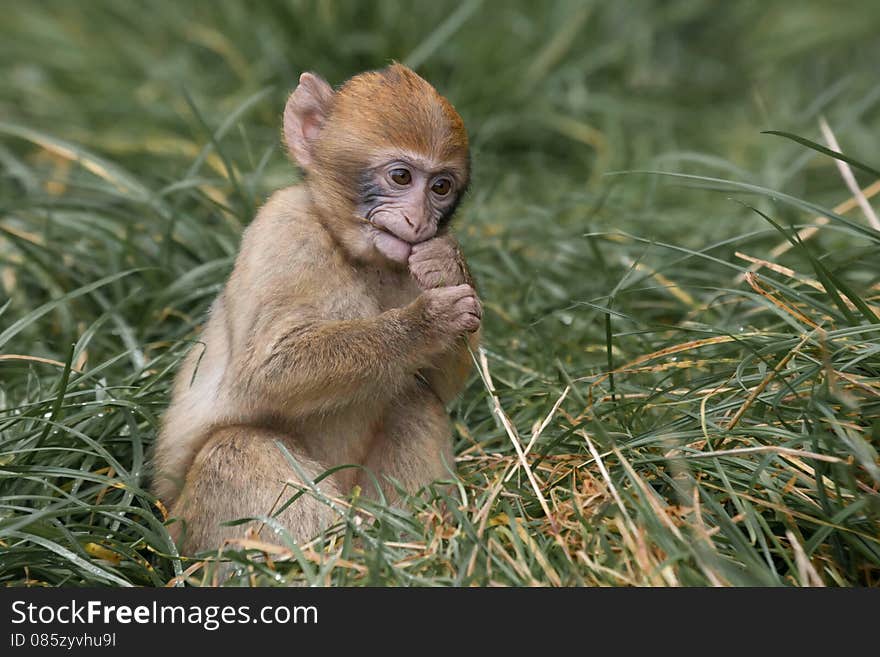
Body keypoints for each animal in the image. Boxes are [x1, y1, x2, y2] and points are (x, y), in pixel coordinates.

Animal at [151, 64, 482, 552]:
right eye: (402, 178)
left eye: (441, 187)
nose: (420, 221)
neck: (353, 251)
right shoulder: (285, 230)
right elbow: (269, 370)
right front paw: (425, 323)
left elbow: (439, 385)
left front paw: (445, 264)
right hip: (190, 527)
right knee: (236, 447)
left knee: (415, 400)